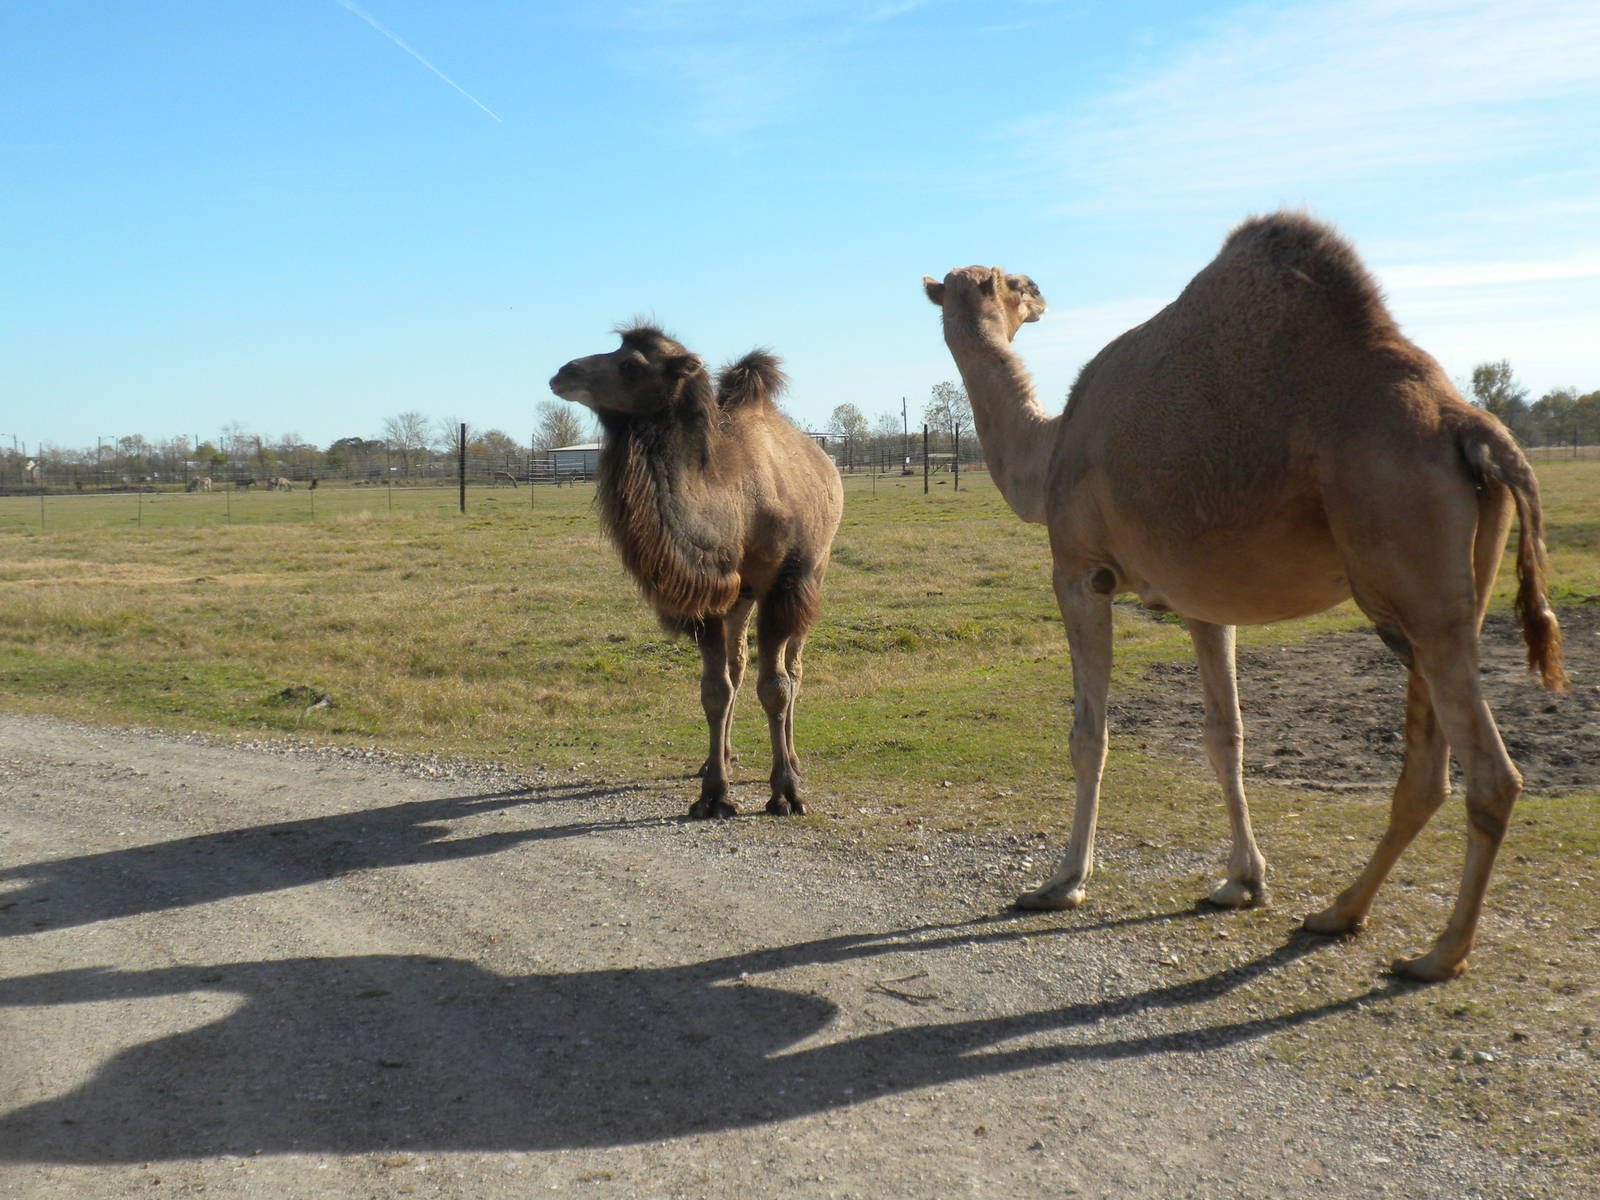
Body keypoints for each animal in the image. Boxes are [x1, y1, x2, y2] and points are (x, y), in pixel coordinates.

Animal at [549, 324, 844, 818]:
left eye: (631, 364)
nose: (562, 372)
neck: (735, 502)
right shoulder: (706, 595)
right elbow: (714, 689)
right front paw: (713, 794)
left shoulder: (782, 586)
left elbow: (776, 686)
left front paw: (785, 792)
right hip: (741, 596)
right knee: (737, 667)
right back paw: (716, 759)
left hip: (811, 574)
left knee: (794, 668)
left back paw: (794, 760)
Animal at [924, 212, 1566, 981]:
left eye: (1010, 282)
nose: (1039, 289)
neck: (1045, 451)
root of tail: (1468, 423)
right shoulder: (1203, 603)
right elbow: (1224, 734)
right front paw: (1243, 881)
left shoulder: (1079, 571)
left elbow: (1089, 734)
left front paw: (1062, 881)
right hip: (1436, 594)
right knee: (1428, 769)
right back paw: (1339, 913)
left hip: (1409, 577)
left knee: (1491, 775)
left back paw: (1439, 953)